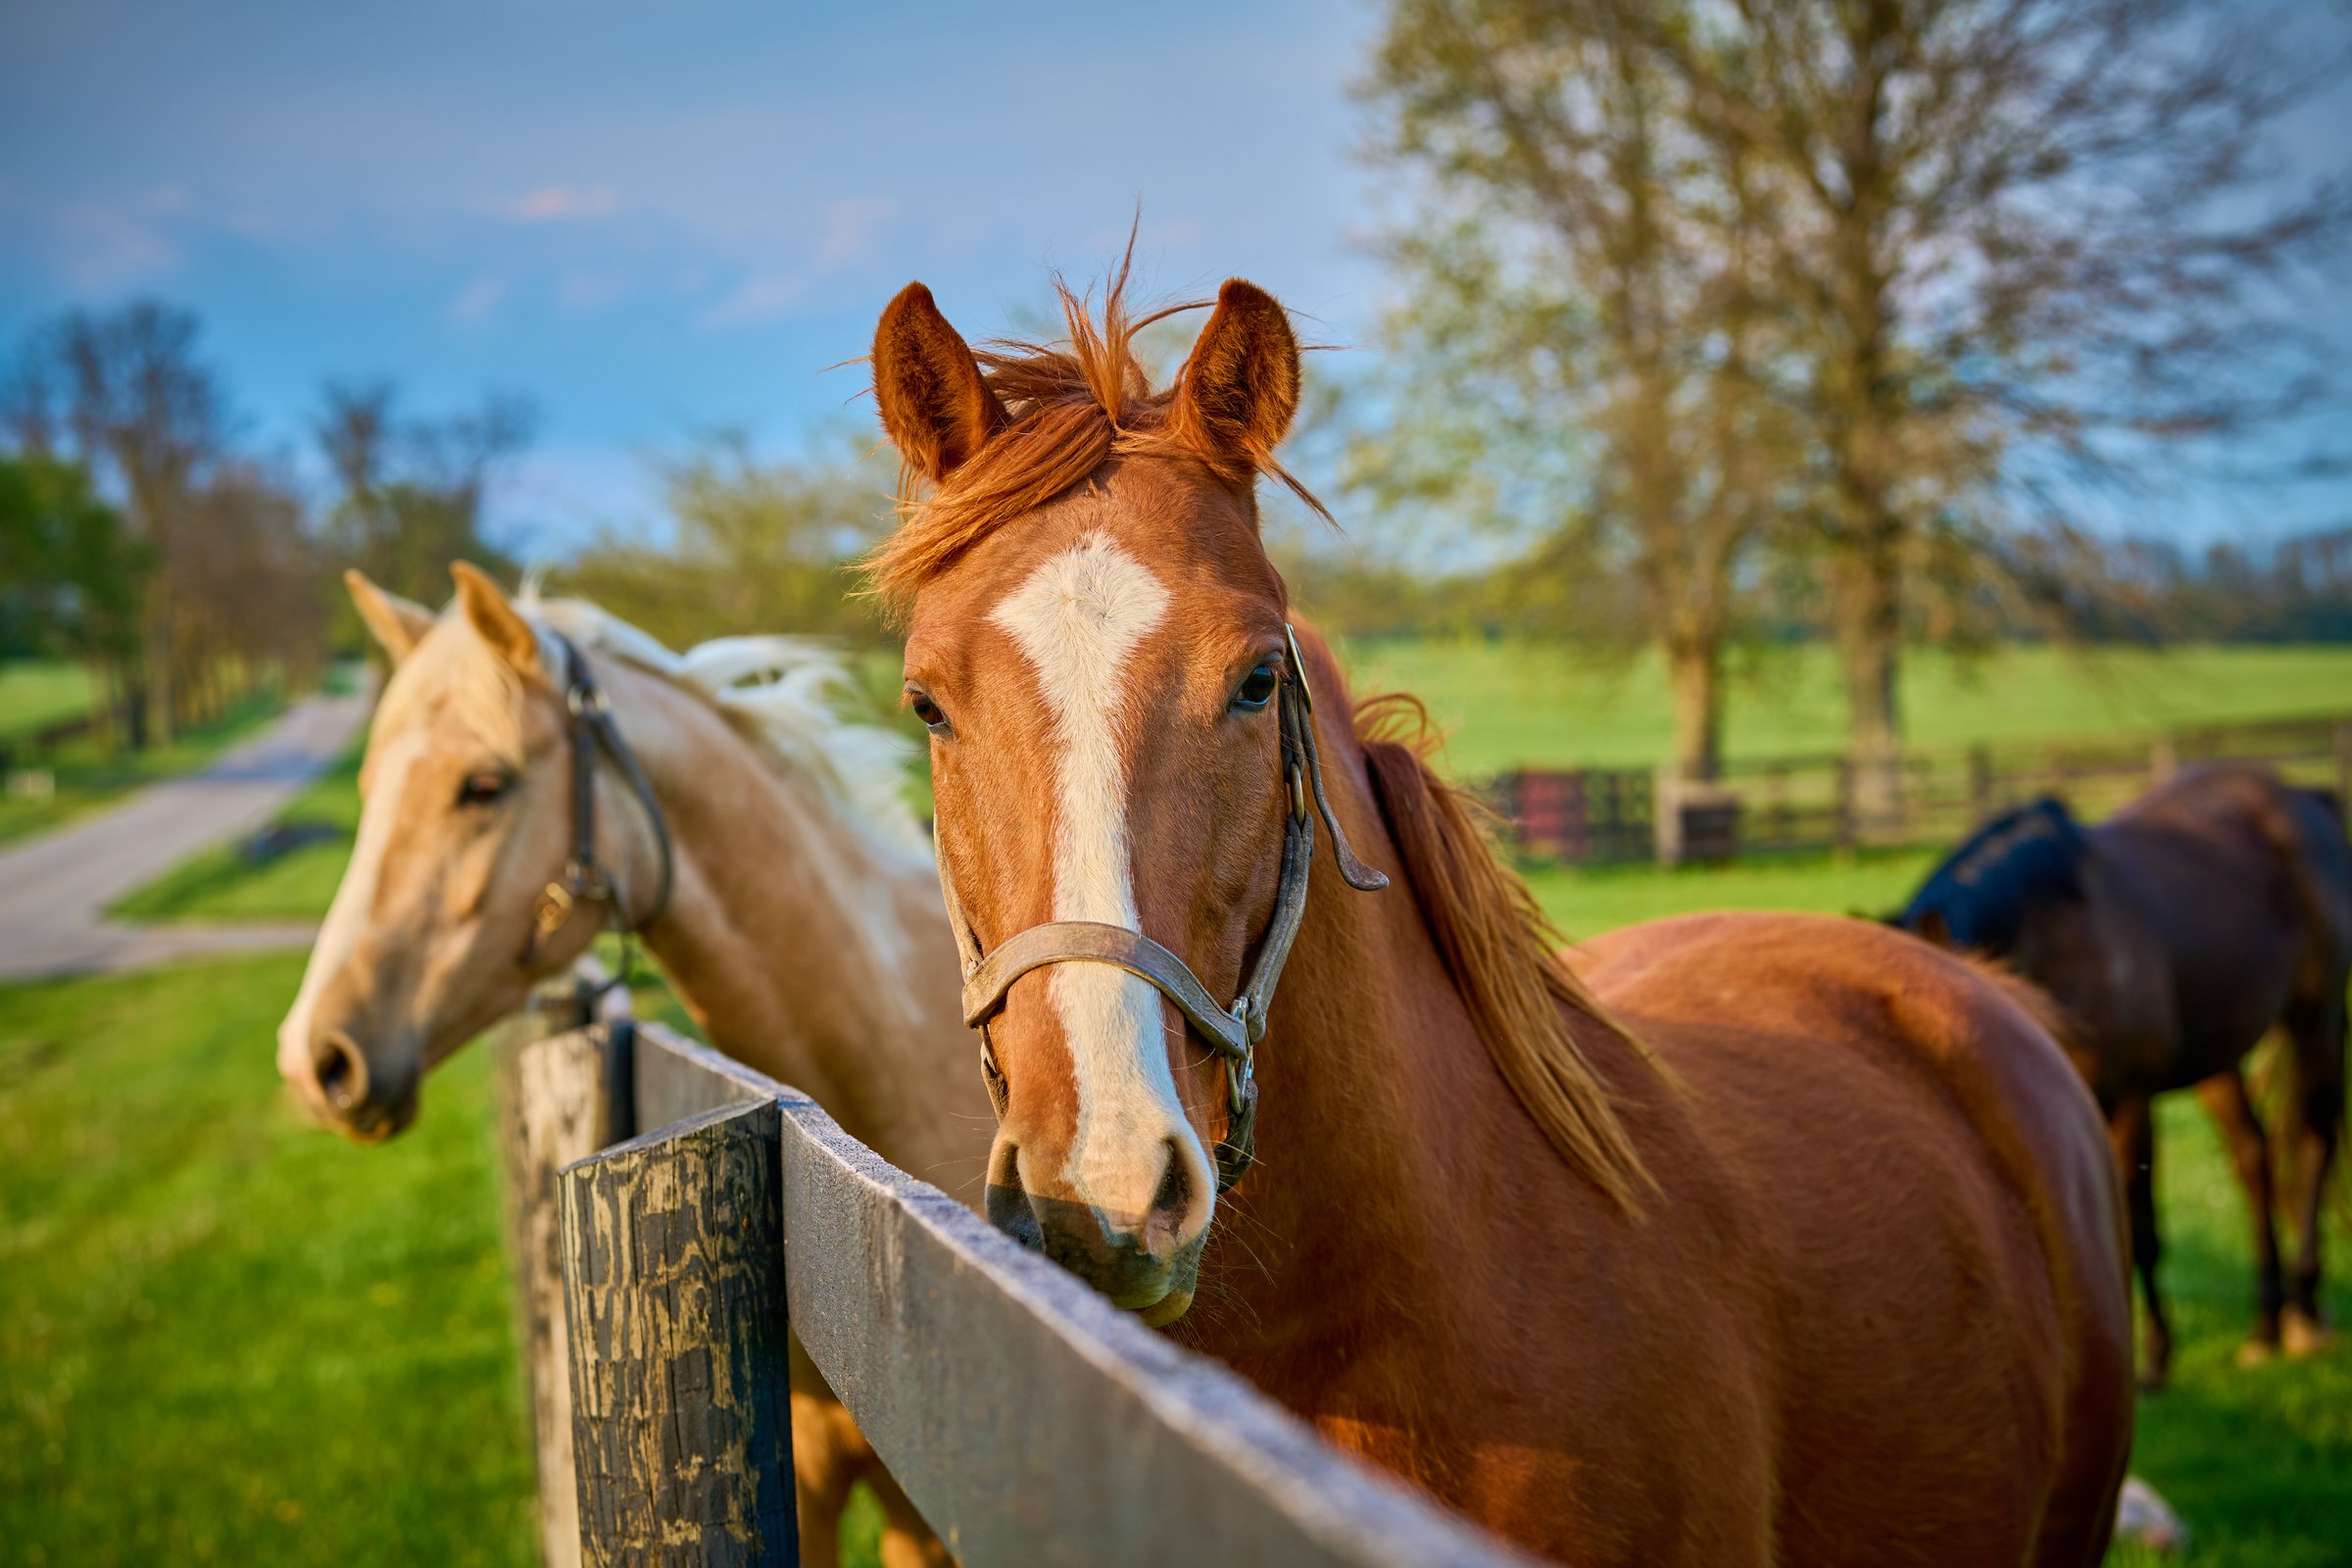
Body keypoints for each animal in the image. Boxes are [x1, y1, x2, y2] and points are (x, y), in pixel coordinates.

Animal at [1892, 772, 2352, 1386]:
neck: (2058, 939)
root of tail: (2308, 796)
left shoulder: (2128, 1099)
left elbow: (2140, 1229)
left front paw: (2153, 1355)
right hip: (2219, 1054)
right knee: (2253, 1159)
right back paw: (2264, 1325)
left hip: (2314, 1020)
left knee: (2314, 1142)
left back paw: (2304, 1310)